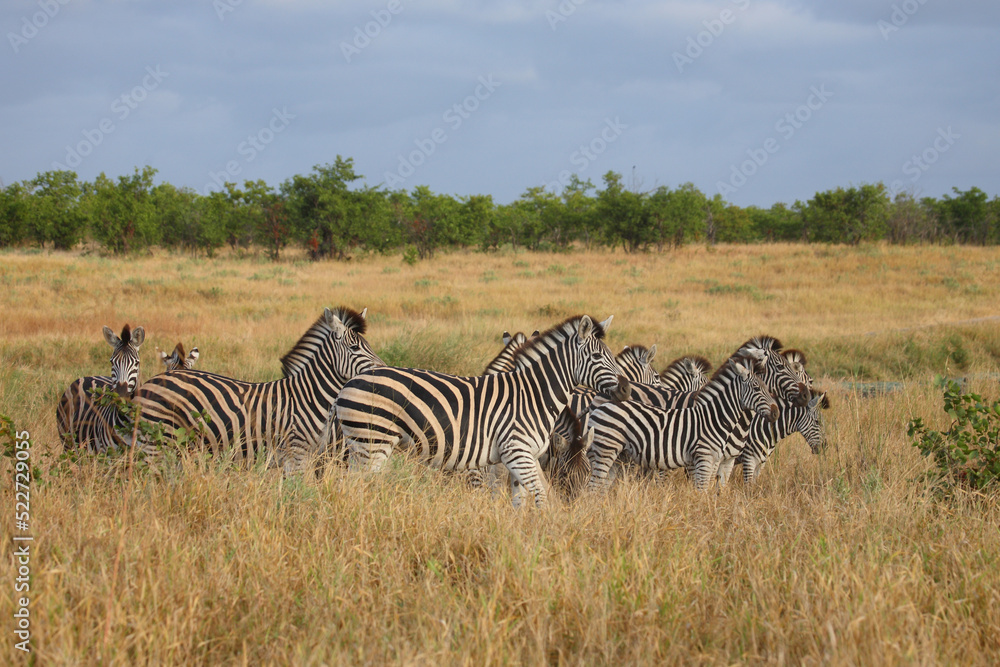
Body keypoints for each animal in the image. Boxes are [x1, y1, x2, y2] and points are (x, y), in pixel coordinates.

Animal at [133, 307, 384, 474]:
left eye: (369, 346)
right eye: (354, 348)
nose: (383, 369)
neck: (308, 397)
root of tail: (151, 382)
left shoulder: (310, 457)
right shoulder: (296, 455)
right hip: (155, 443)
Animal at [336, 314, 630, 507]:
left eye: (587, 474)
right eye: (597, 357)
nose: (626, 389)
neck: (533, 395)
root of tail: (350, 382)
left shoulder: (517, 460)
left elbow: (520, 503)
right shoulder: (517, 454)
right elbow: (541, 498)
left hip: (359, 446)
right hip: (373, 443)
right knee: (359, 489)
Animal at [586, 349, 778, 492]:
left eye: (767, 387)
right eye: (756, 388)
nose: (776, 412)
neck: (714, 418)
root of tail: (601, 402)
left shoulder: (719, 460)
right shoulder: (704, 458)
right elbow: (702, 491)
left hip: (618, 454)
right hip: (606, 449)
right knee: (593, 486)